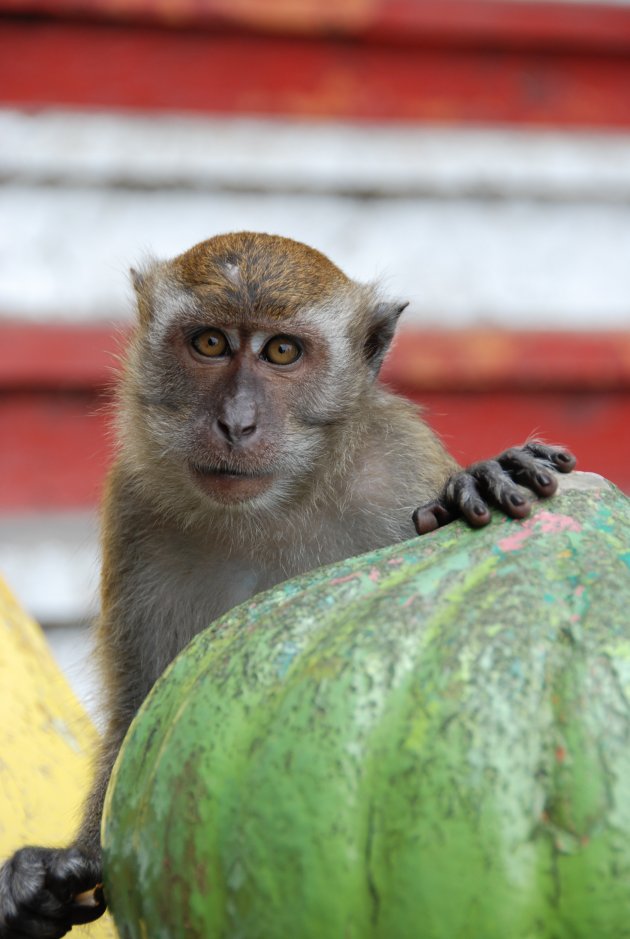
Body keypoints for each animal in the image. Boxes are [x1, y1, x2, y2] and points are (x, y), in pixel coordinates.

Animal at [0, 231, 576, 936]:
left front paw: (489, 475)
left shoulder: (401, 466)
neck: (274, 508)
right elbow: (138, 724)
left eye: (281, 352)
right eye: (210, 343)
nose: (237, 423)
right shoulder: (138, 511)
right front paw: (38, 885)